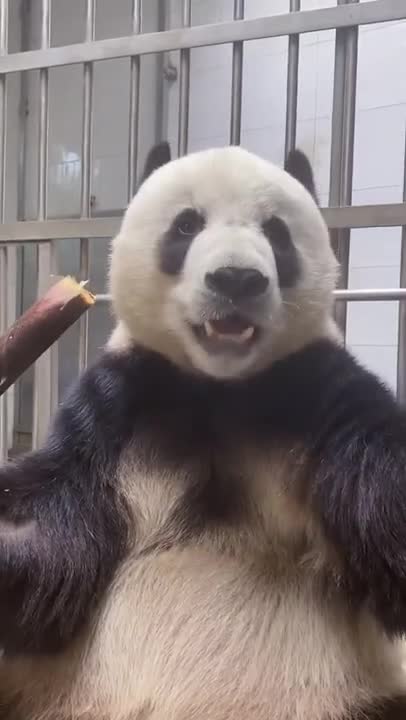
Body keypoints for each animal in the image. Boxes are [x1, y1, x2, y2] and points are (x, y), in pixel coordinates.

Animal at [0, 142, 406, 720]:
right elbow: (51, 542)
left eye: (276, 232)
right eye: (187, 225)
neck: (219, 388)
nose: (236, 278)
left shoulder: (320, 396)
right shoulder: (115, 410)